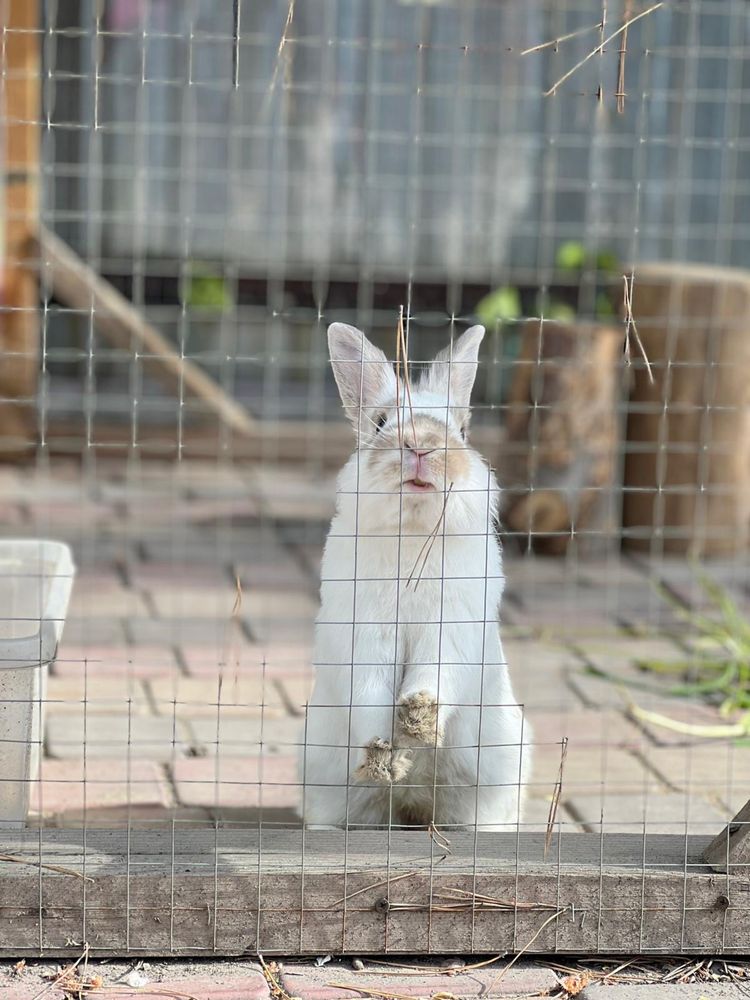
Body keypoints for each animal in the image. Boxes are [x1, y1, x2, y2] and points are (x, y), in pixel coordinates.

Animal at [296, 324, 532, 832]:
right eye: (381, 423)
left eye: (460, 430)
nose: (420, 446)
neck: (415, 530)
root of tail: (413, 806)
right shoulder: (365, 639)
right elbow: (370, 699)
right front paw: (383, 756)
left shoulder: (451, 632)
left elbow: (434, 678)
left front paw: (418, 719)